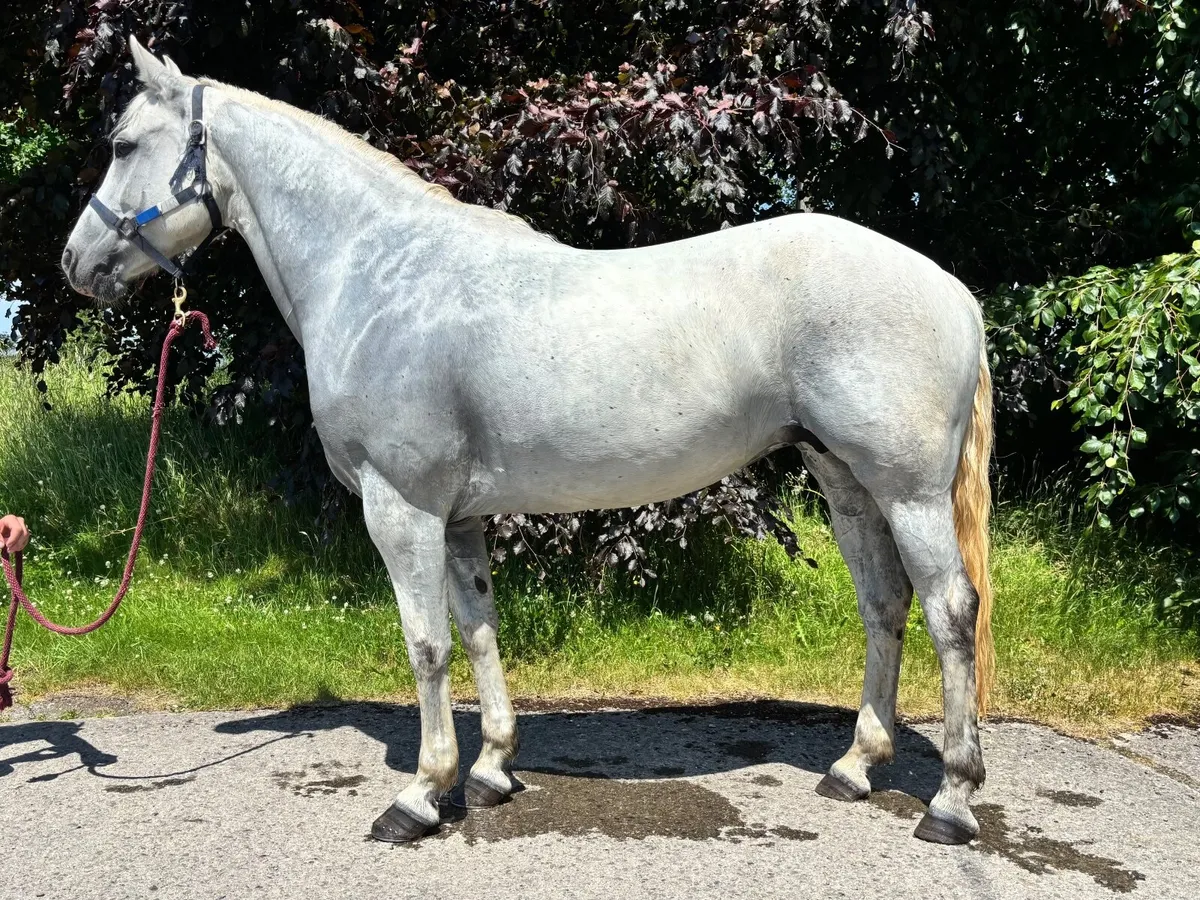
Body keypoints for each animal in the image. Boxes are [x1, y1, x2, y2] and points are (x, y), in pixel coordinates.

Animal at [62, 38, 995, 846]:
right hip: (845, 481)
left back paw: (950, 801)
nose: (76, 262)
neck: (379, 272)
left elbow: (427, 645)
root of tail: (953, 290)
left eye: (123, 143)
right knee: (884, 605)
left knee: (951, 611)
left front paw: (419, 796)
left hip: (907, 491)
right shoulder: (460, 518)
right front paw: (491, 771)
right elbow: (479, 630)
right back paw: (854, 768)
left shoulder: (400, 508)